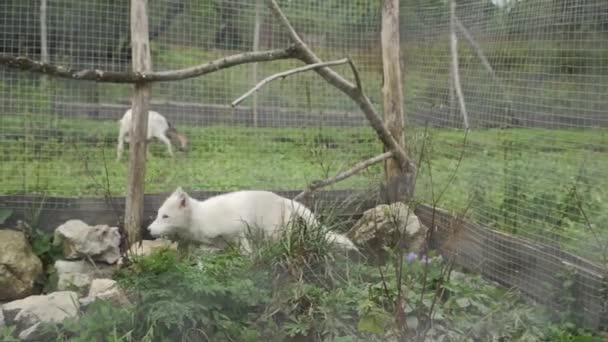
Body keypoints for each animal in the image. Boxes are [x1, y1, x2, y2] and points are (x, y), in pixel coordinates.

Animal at [146, 187, 356, 254]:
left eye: (165, 216)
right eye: (158, 214)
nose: (147, 230)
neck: (199, 219)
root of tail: (284, 199)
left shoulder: (238, 231)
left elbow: (246, 252)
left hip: (273, 233)